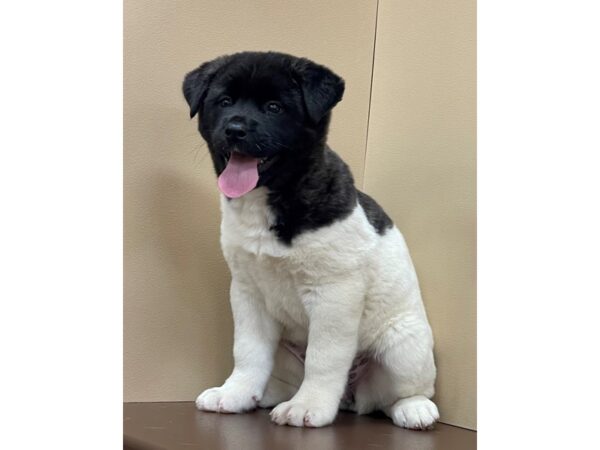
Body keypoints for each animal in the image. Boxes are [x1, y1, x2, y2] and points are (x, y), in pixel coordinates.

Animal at [180, 51, 438, 428]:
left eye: (274, 107)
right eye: (224, 102)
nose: (234, 129)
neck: (274, 196)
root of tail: (351, 399)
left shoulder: (334, 294)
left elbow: (323, 356)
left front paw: (309, 405)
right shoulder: (247, 293)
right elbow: (248, 351)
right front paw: (236, 392)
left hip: (404, 345)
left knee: (399, 394)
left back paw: (414, 408)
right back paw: (264, 395)